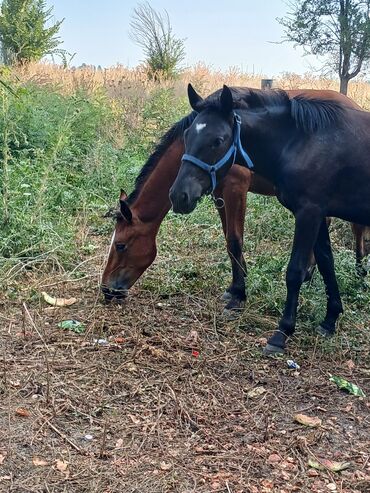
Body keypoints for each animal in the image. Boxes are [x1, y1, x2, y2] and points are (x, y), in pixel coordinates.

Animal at [101, 88, 368, 318]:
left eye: (121, 245)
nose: (106, 289)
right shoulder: (219, 194)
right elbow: (227, 238)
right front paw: (235, 287)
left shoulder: (235, 190)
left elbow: (234, 240)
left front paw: (239, 295)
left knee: (357, 228)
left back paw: (358, 273)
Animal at [170, 85, 370, 354]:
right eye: (187, 134)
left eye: (218, 140)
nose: (179, 196)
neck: (303, 142)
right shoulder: (317, 214)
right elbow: (327, 263)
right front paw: (330, 320)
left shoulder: (308, 213)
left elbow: (294, 271)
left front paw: (282, 333)